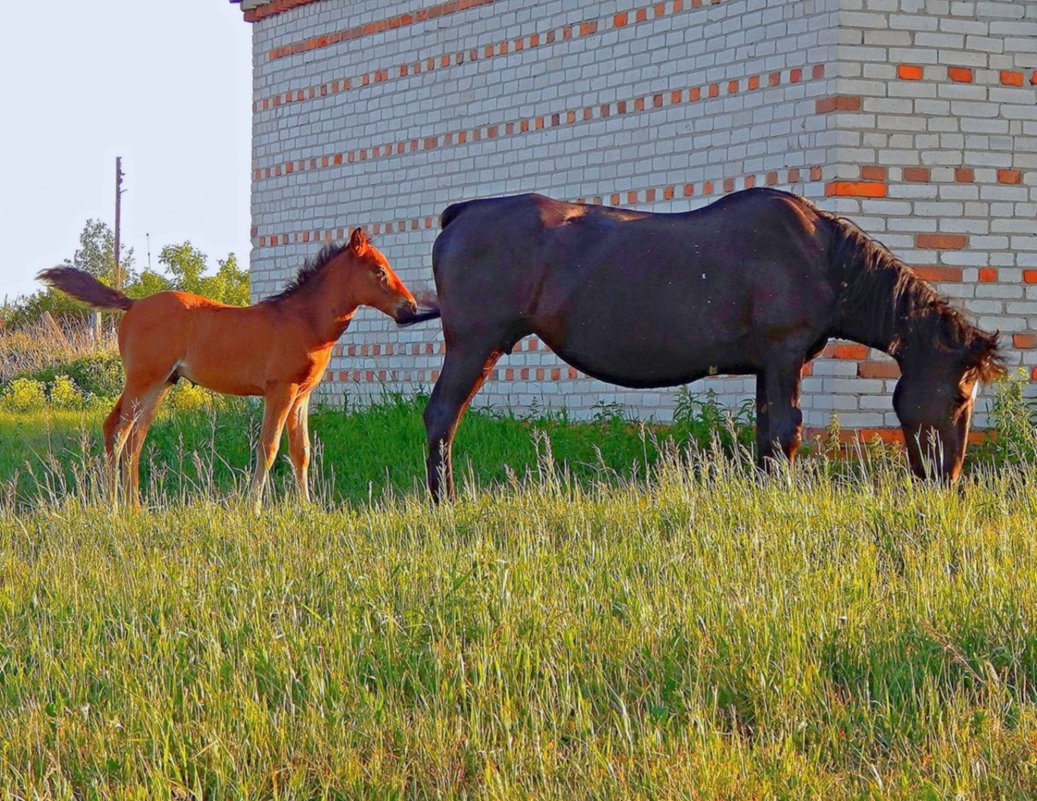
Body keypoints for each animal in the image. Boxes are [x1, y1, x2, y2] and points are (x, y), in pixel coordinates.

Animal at [38, 228, 437, 510]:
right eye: (379, 271)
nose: (410, 308)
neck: (304, 321)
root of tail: (133, 304)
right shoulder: (280, 391)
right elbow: (269, 447)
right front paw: (253, 508)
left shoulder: (302, 396)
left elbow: (302, 451)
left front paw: (307, 509)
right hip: (142, 380)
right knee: (116, 429)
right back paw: (113, 506)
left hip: (160, 384)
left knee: (135, 436)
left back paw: (135, 507)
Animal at [423, 188, 1003, 500]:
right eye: (959, 396)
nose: (948, 481)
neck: (823, 257)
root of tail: (462, 212)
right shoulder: (785, 355)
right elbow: (787, 433)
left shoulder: (769, 366)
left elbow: (767, 437)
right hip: (474, 344)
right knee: (442, 417)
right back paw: (442, 501)